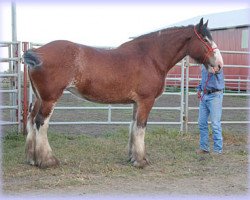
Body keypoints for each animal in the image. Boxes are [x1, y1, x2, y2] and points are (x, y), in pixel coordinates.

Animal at [23, 18, 223, 169]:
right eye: (205, 40)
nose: (219, 64)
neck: (150, 57)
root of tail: (38, 51)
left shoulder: (137, 103)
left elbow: (133, 127)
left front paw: (133, 157)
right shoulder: (146, 101)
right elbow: (141, 128)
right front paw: (141, 161)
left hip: (40, 98)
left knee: (31, 121)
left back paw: (32, 159)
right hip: (50, 99)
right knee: (41, 123)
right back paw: (47, 160)